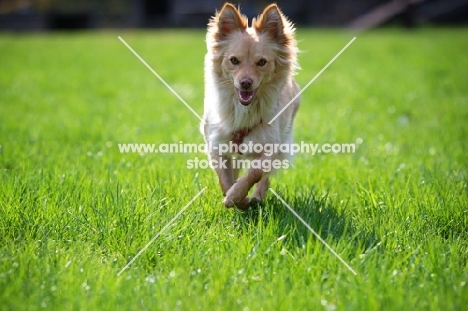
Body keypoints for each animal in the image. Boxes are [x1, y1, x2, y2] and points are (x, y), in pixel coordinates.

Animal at [201, 3, 300, 210]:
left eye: (261, 62)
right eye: (234, 60)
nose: (245, 83)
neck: (243, 110)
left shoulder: (271, 147)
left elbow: (256, 172)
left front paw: (237, 196)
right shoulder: (215, 144)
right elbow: (224, 179)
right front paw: (235, 198)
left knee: (265, 178)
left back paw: (257, 197)